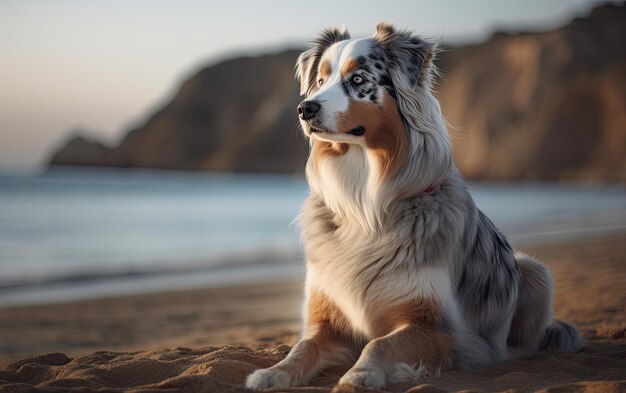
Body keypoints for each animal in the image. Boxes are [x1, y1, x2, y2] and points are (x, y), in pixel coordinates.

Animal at [244, 23, 580, 388]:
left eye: (358, 79)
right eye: (320, 80)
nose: (305, 109)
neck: (364, 203)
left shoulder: (440, 327)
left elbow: (380, 343)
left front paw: (360, 374)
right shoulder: (327, 319)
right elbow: (301, 347)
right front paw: (272, 373)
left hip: (534, 270)